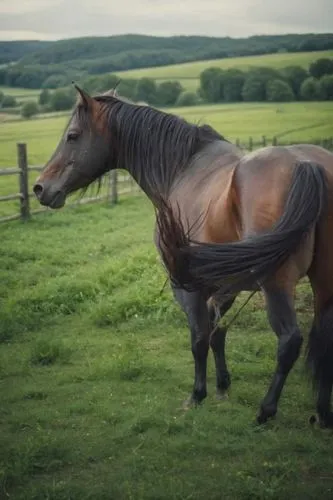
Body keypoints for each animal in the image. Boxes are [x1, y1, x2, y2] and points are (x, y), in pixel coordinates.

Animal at [33, 85, 332, 426]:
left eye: (73, 135)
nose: (40, 188)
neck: (184, 168)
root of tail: (308, 165)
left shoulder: (188, 285)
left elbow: (199, 338)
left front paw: (197, 395)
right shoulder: (223, 284)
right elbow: (217, 332)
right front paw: (222, 387)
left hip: (277, 284)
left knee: (289, 341)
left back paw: (265, 411)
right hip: (324, 285)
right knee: (325, 339)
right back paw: (323, 414)